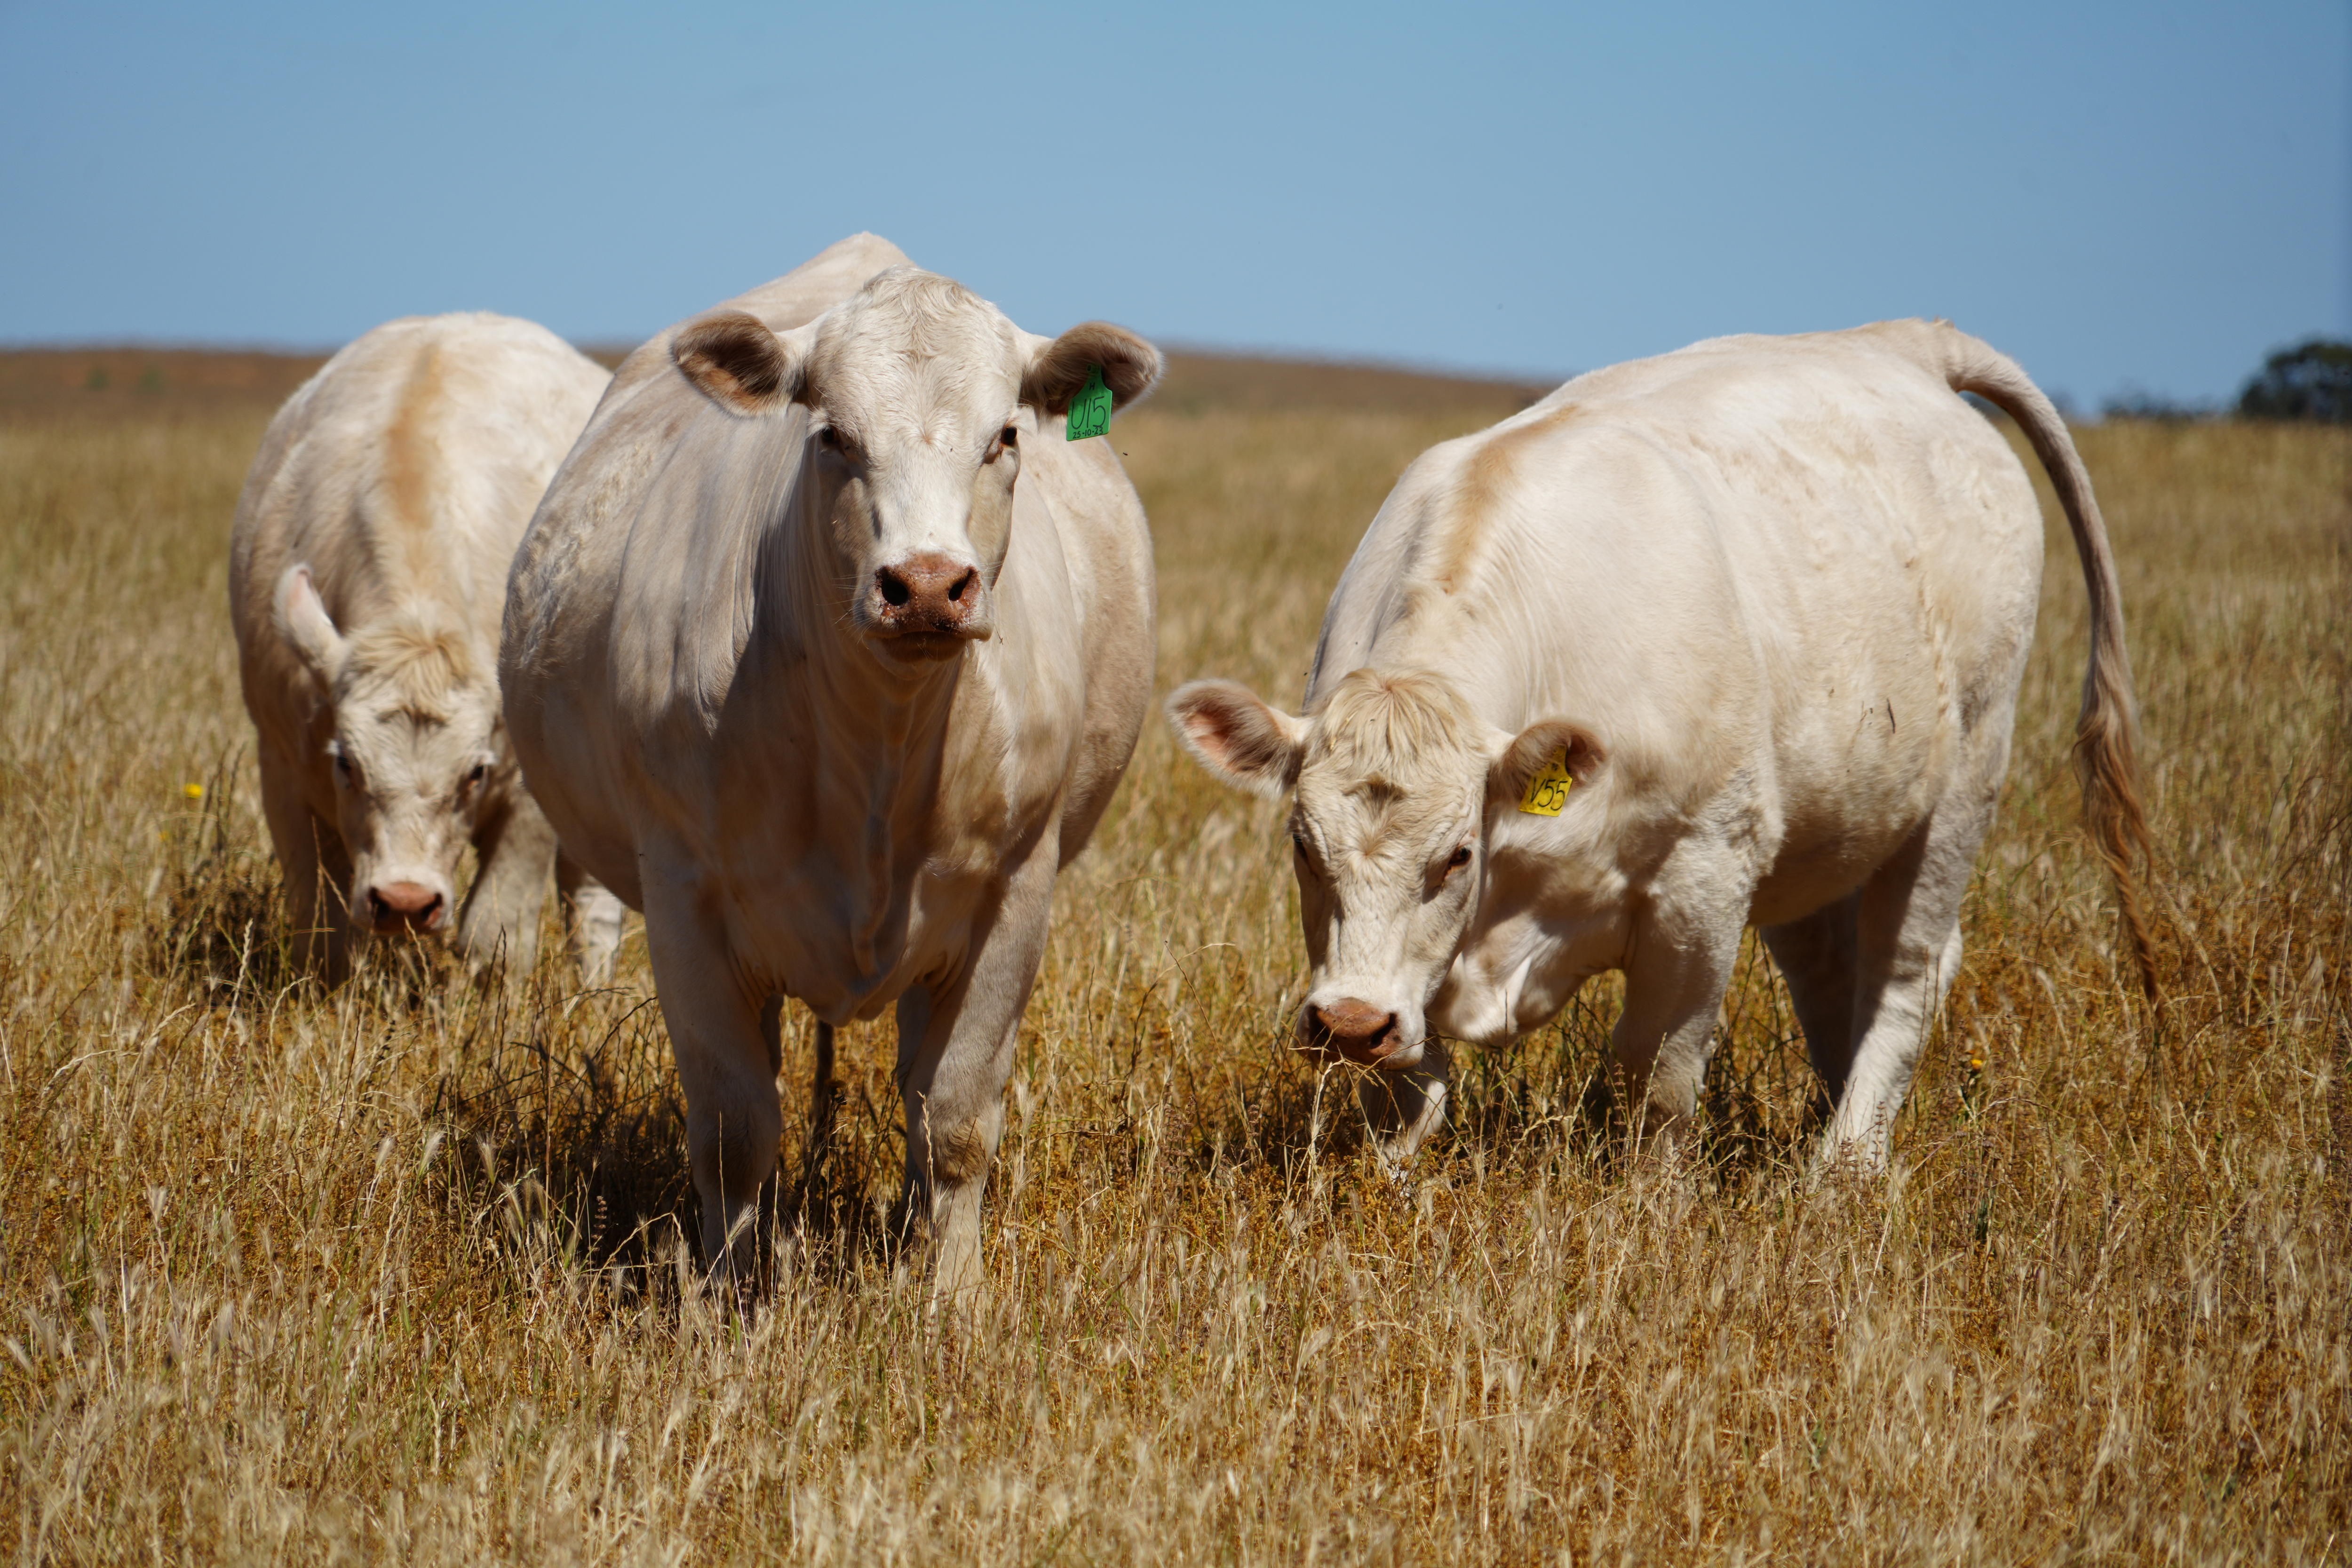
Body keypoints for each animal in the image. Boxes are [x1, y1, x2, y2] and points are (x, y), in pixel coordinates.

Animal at [230, 312, 625, 985]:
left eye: (474, 772)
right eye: (347, 764)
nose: (406, 902)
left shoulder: (530, 800)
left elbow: (494, 933)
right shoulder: (281, 769)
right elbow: (325, 930)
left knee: (590, 893)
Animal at [499, 235, 1162, 1297]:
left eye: (1004, 437)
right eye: (833, 436)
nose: (926, 585)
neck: (877, 748)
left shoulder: (1014, 895)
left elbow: (955, 1120)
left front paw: (951, 1297)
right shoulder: (685, 903)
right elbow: (733, 1133)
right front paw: (731, 1300)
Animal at [1167, 320, 2153, 1176]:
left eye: (1456, 856)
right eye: (1303, 846)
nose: (1349, 1024)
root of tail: (1905, 340)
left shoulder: (1701, 882)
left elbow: (1659, 1078)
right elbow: (1409, 1095)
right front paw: (1391, 1183)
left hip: (1962, 784)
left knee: (1906, 967)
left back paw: (1846, 1163)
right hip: (1820, 823)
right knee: (1831, 971)